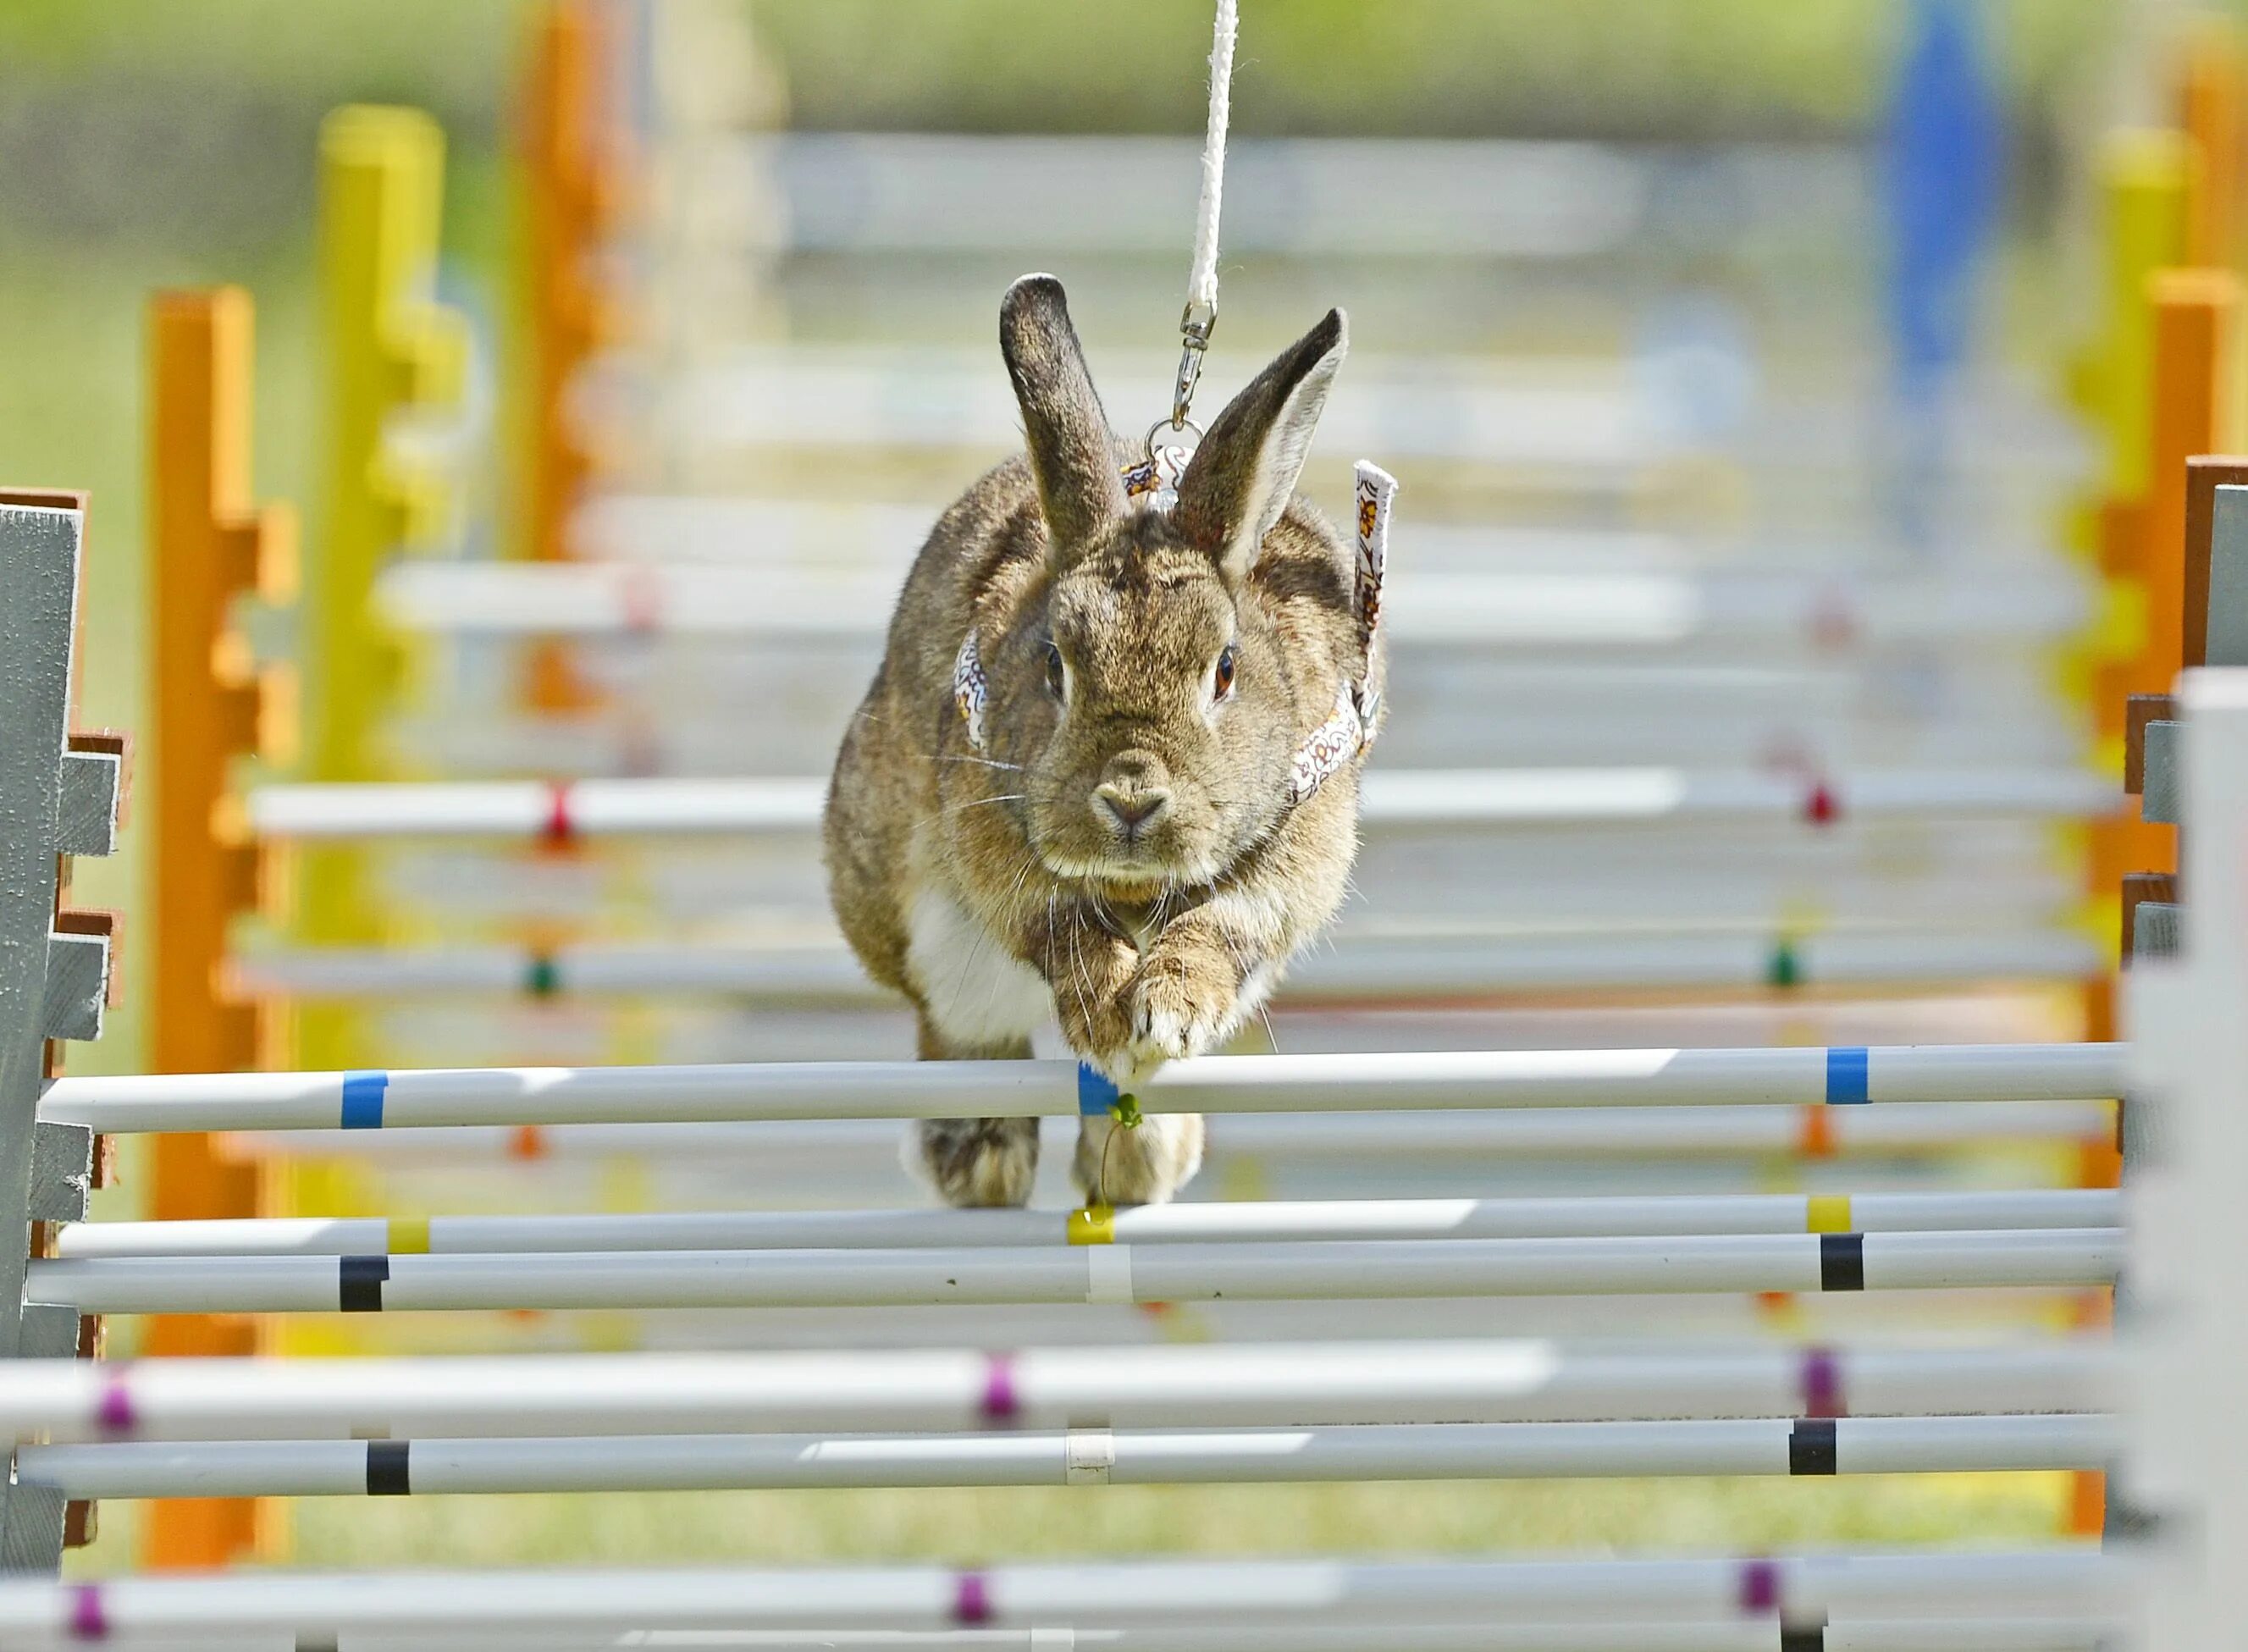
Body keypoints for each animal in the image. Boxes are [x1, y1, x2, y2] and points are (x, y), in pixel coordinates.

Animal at [827, 273, 1384, 1213]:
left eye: (1224, 670)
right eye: (1055, 663)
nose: (1129, 798)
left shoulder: (1300, 845)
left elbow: (1223, 923)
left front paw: (1167, 1012)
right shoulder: (987, 818)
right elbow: (1059, 928)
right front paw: (1110, 1016)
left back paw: (1139, 1158)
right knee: (964, 1029)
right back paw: (977, 1158)